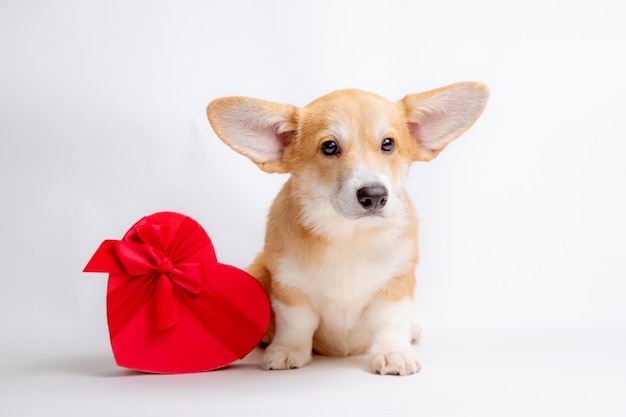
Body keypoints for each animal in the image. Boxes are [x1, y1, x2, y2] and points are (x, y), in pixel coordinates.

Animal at [206, 83, 488, 376]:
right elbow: (296, 323)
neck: (349, 234)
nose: (374, 195)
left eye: (388, 144)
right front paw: (287, 350)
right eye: (329, 147)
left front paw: (393, 353)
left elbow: (389, 321)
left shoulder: (397, 282)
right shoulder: (288, 286)